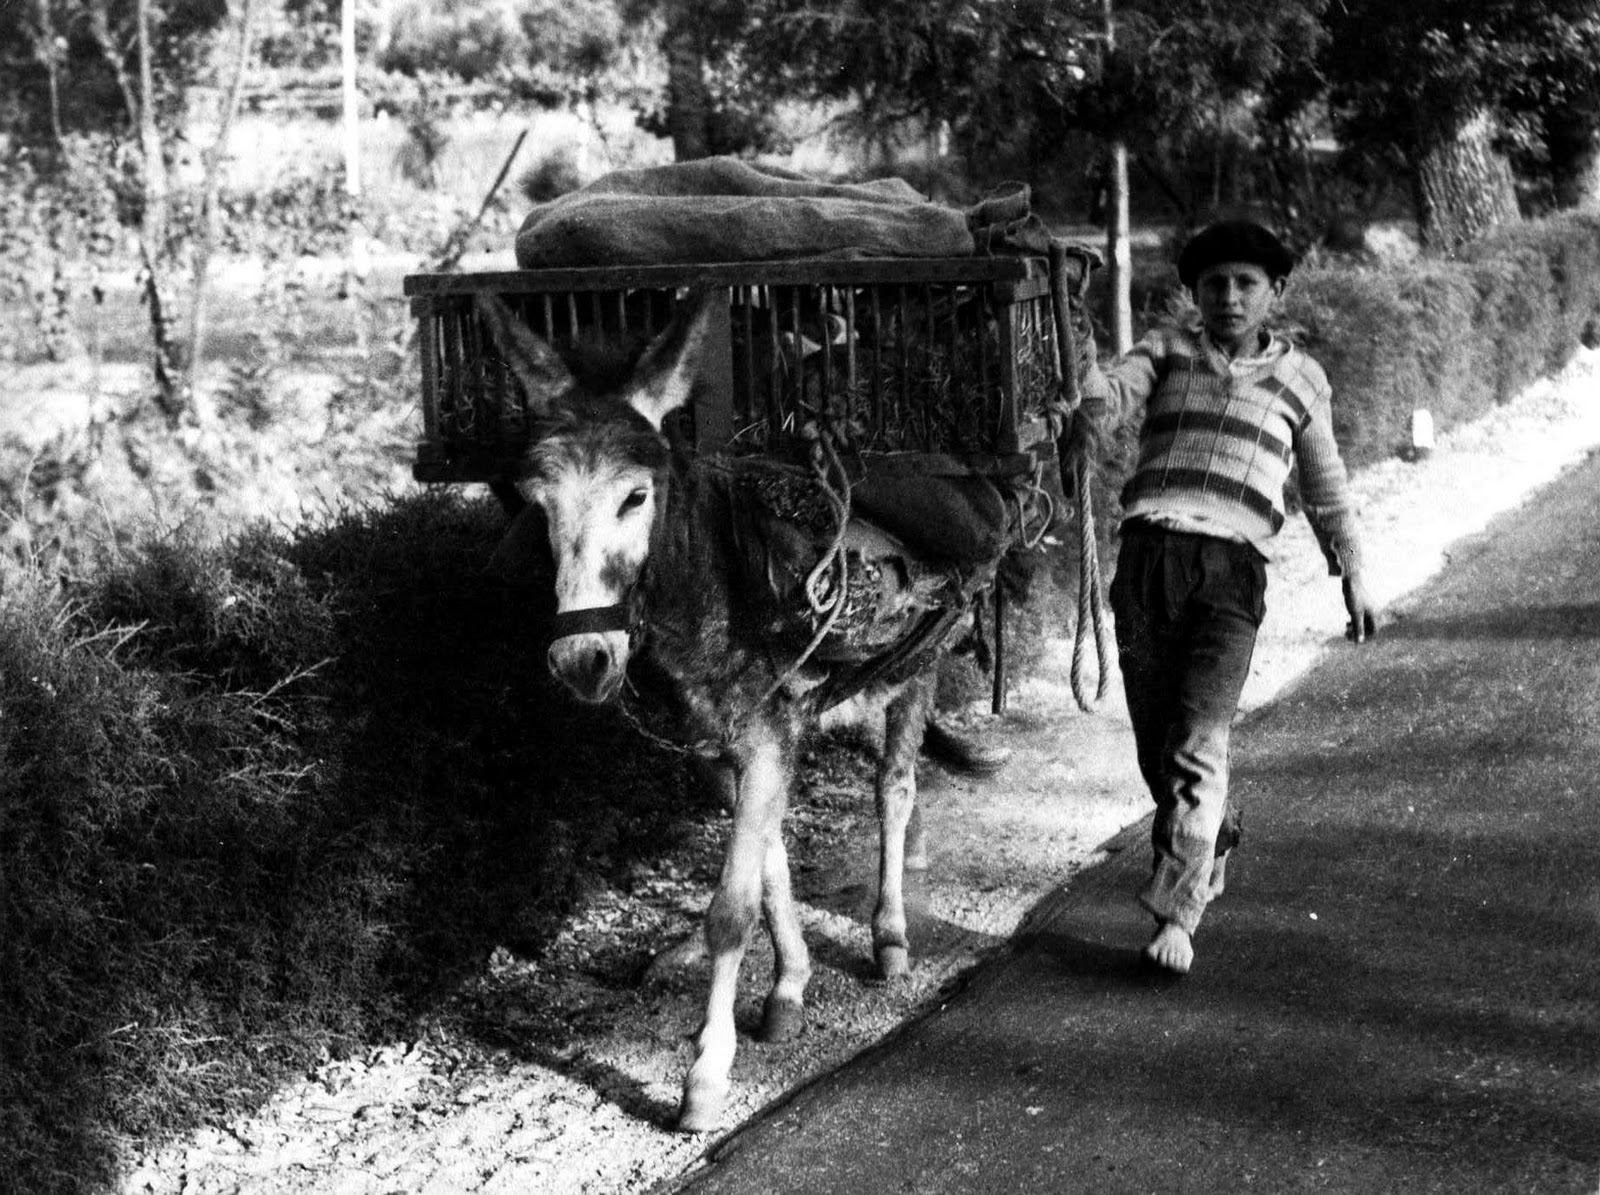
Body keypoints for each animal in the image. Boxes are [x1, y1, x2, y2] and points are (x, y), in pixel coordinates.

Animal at [476, 288, 1001, 1132]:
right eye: (537, 503)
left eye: (635, 495)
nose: (581, 659)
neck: (715, 586)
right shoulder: (724, 748)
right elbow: (771, 868)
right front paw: (788, 986)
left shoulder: (763, 740)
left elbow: (730, 908)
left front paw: (705, 1076)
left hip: (918, 671)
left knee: (893, 791)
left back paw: (889, 933)